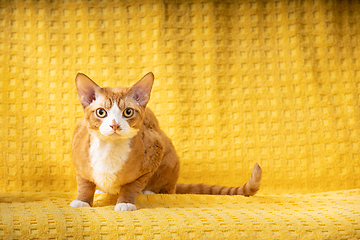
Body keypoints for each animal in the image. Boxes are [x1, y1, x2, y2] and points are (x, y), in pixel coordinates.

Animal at [69, 72, 262, 211]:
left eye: (128, 112)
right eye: (101, 112)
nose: (115, 125)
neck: (109, 149)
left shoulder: (155, 153)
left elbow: (132, 186)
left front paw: (126, 202)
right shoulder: (79, 159)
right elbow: (84, 183)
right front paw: (83, 201)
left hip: (169, 158)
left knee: (167, 188)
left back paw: (149, 191)